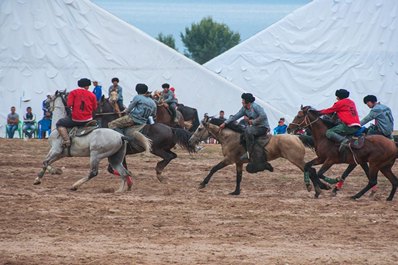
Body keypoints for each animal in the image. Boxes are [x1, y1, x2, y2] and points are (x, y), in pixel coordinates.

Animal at [188, 116, 318, 196]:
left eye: (199, 129)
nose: (190, 141)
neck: (231, 138)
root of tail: (297, 137)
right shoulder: (238, 162)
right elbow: (239, 177)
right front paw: (236, 192)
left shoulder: (229, 160)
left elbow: (214, 168)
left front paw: (203, 183)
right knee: (311, 170)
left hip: (296, 159)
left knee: (310, 170)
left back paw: (316, 190)